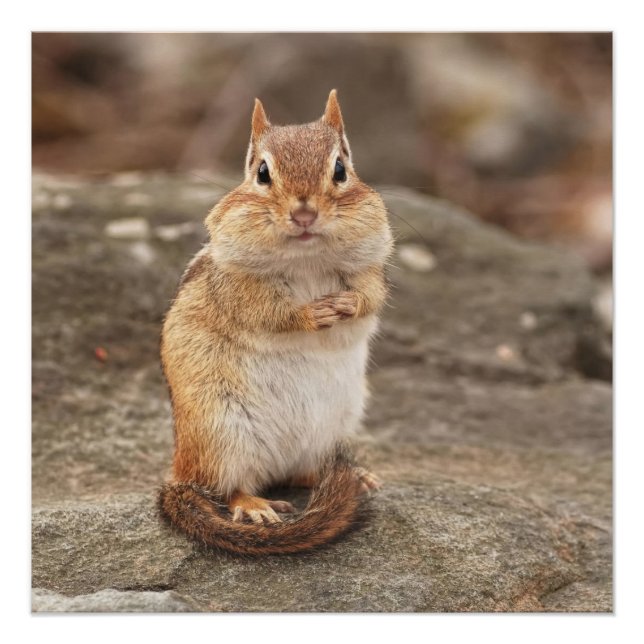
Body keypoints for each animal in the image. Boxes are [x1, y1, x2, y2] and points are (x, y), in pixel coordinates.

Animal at [159, 90, 393, 555]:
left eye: (340, 170)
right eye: (262, 173)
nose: (304, 214)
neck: (307, 259)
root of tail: (180, 473)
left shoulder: (371, 267)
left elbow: (372, 295)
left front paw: (348, 305)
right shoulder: (237, 286)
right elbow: (266, 311)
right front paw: (310, 314)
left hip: (331, 430)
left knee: (304, 474)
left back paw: (354, 476)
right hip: (221, 434)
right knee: (229, 487)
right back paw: (254, 506)